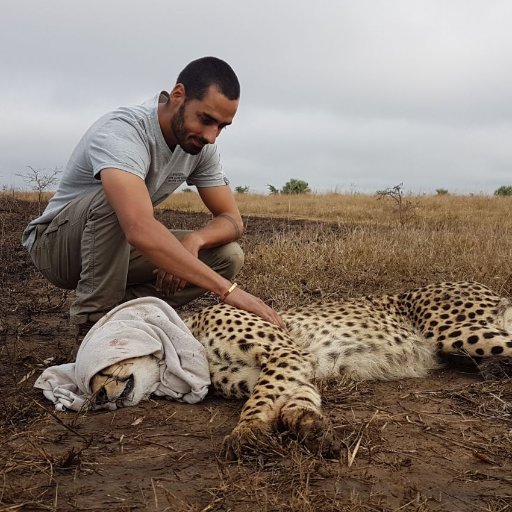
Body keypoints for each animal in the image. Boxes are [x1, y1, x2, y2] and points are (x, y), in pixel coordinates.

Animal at [91, 282, 512, 458]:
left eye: (99, 367)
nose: (96, 399)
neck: (187, 339)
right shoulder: (291, 366)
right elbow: (293, 395)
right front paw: (307, 424)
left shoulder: (285, 352)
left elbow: (261, 399)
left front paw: (245, 433)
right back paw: (492, 371)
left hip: (453, 330)